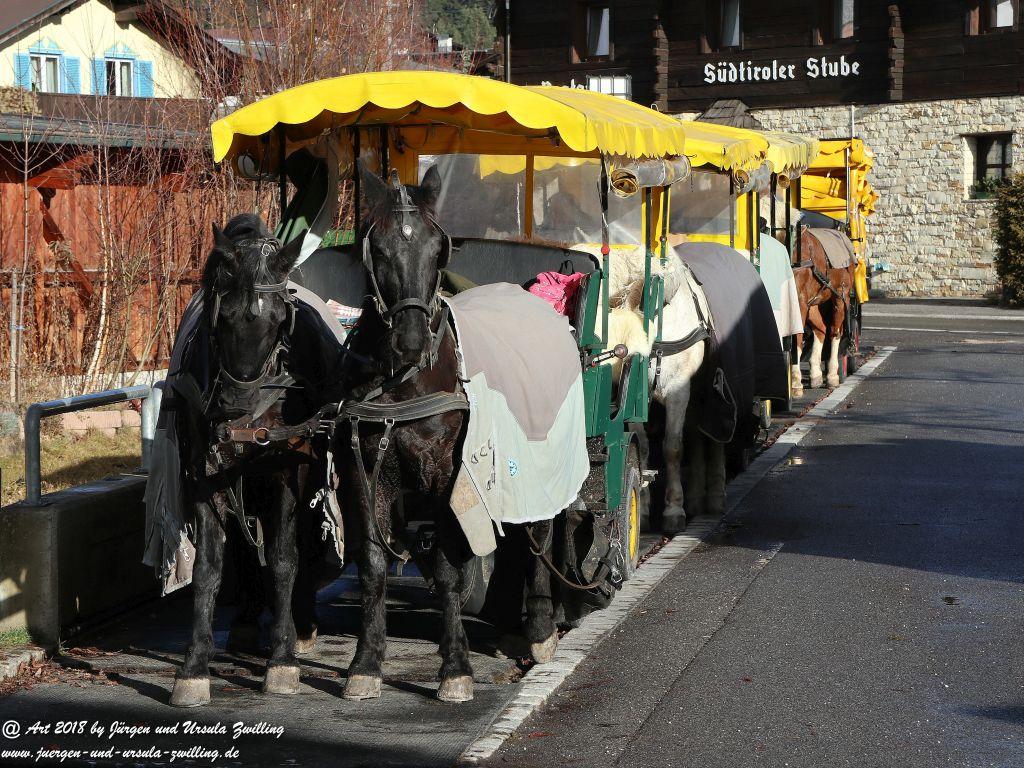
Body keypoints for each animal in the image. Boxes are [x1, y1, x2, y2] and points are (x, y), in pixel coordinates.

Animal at [169, 214, 342, 707]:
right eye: (222, 316)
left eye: (279, 320)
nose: (235, 413)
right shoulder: (205, 473)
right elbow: (209, 566)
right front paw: (194, 665)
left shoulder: (286, 471)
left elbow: (283, 558)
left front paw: (282, 660)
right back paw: (247, 620)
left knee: (300, 543)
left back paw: (301, 624)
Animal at [336, 163, 563, 704]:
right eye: (377, 249)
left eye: (439, 248)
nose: (410, 340)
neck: (403, 385)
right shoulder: (364, 469)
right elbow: (372, 563)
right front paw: (366, 663)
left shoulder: (447, 476)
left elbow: (445, 568)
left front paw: (455, 667)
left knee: (540, 533)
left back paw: (540, 628)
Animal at [792, 226, 855, 393]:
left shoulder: (799, 302)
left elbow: (796, 337)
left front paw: (795, 382)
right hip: (813, 304)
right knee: (820, 330)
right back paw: (816, 375)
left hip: (841, 296)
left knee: (835, 331)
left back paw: (832, 375)